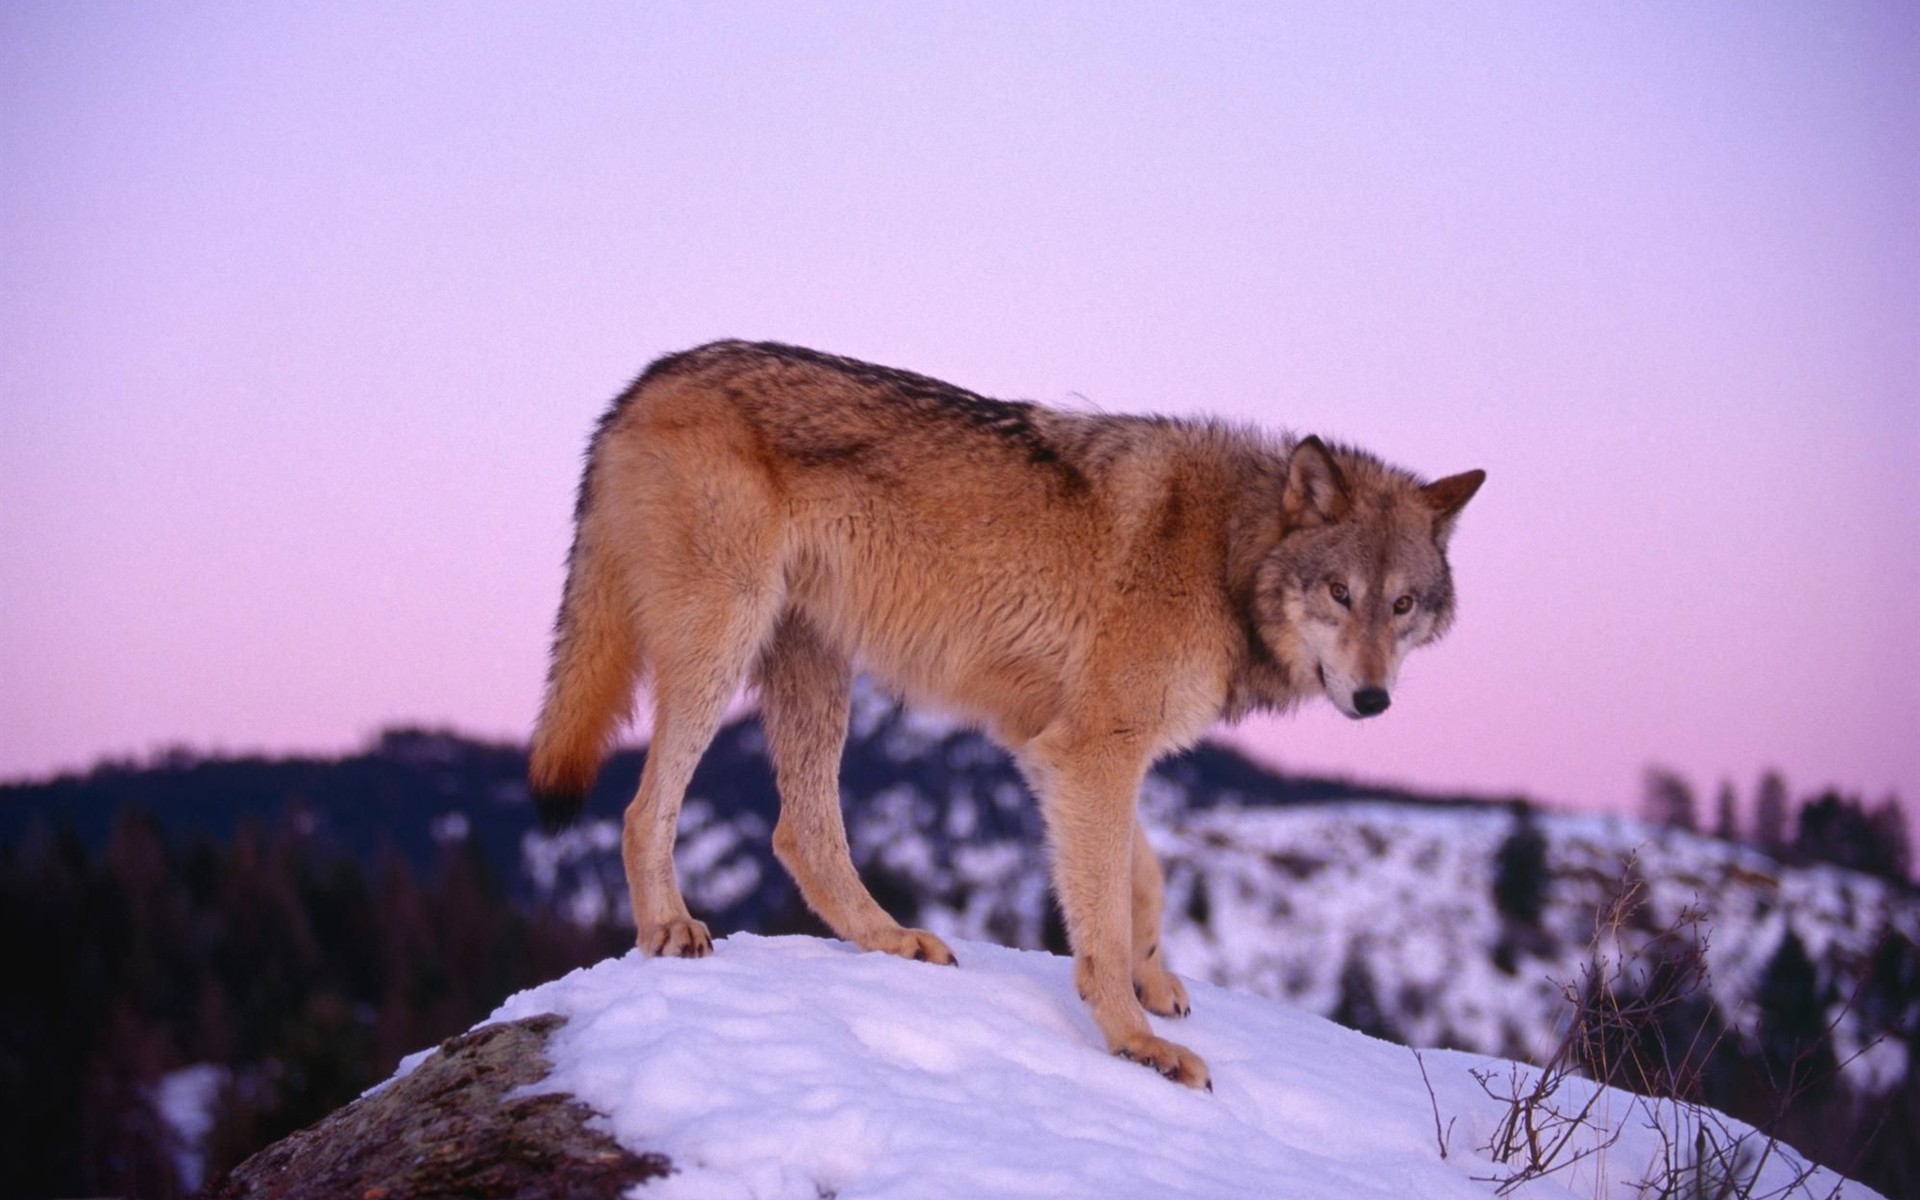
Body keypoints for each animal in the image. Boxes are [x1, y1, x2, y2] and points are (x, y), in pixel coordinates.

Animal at [526, 337, 1482, 1082]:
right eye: (1339, 592)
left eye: (1401, 605)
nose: (1373, 698)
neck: (1225, 555)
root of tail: (645, 381)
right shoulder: (1093, 752)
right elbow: (1103, 918)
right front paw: (1134, 1042)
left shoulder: (1058, 747)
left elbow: (1143, 878)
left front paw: (1155, 985)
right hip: (722, 646)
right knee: (645, 808)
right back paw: (669, 928)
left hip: (814, 667)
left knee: (801, 834)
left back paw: (892, 940)